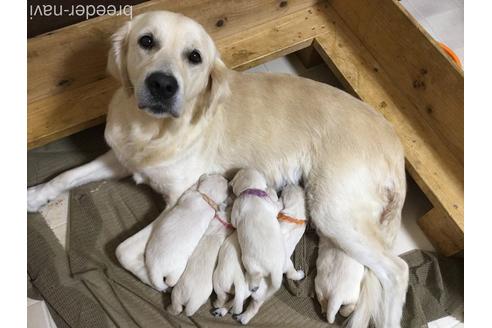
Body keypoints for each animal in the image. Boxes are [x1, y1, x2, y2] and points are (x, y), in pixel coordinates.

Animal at [231, 169, 284, 326]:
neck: (252, 191)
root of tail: (276, 269)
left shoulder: (236, 208)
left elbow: (233, 222)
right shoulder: (271, 206)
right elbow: (277, 206)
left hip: (249, 262)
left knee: (256, 275)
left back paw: (253, 285)